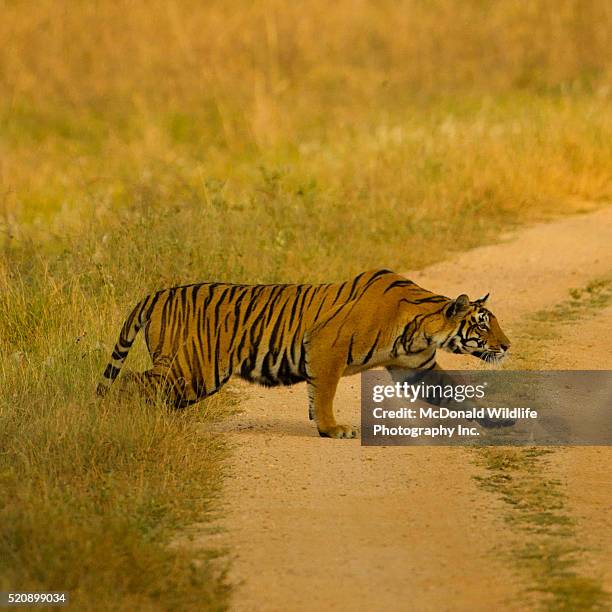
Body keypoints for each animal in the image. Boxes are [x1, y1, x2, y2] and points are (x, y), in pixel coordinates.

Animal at [97, 268, 512, 436]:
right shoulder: (326, 347)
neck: (423, 329)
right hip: (194, 368)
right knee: (130, 382)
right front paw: (332, 430)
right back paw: (127, 421)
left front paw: (499, 420)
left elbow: (462, 396)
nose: (507, 345)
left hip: (187, 373)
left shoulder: (420, 369)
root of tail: (156, 294)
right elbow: (324, 393)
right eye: (481, 325)